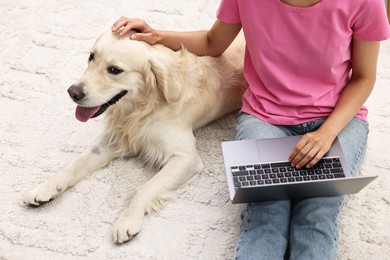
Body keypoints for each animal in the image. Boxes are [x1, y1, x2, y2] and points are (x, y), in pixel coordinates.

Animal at [23, 29, 247, 244]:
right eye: (91, 56)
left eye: (115, 70)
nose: (73, 92)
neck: (141, 107)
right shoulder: (114, 137)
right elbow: (72, 165)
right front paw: (44, 188)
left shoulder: (186, 158)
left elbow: (142, 189)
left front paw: (127, 221)